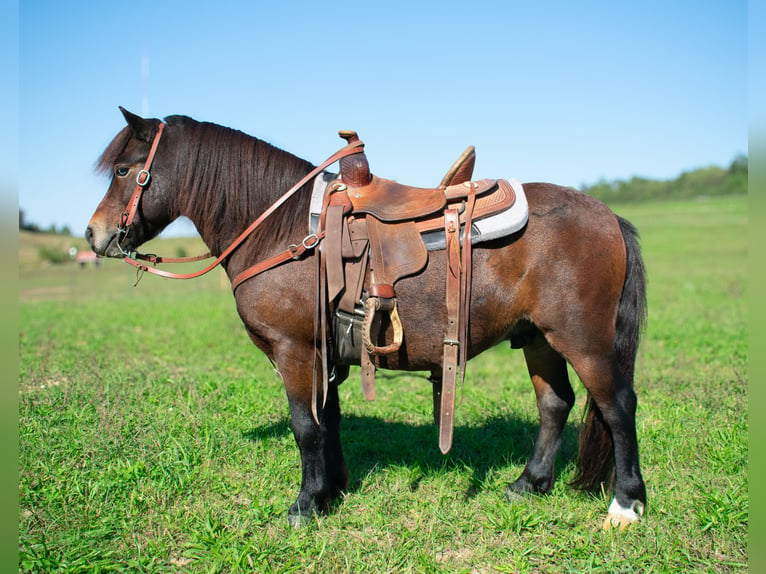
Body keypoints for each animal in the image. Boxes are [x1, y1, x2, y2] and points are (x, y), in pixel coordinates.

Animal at [85, 108, 648, 532]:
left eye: (123, 170)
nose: (94, 235)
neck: (283, 231)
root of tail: (608, 215)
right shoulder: (324, 355)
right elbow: (326, 422)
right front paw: (331, 490)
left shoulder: (293, 351)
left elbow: (304, 427)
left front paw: (304, 505)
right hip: (538, 339)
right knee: (555, 405)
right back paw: (528, 484)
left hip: (583, 340)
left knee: (617, 407)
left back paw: (625, 504)